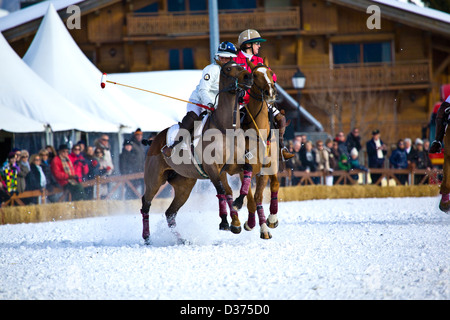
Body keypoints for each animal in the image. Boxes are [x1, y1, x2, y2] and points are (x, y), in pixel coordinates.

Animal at [140, 60, 253, 244]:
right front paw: (226, 222)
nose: (249, 77)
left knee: (170, 213)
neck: (226, 127)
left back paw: (181, 240)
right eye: (229, 68)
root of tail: (153, 141)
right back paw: (147, 237)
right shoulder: (214, 169)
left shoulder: (234, 166)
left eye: (242, 66)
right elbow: (223, 191)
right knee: (146, 203)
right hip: (154, 179)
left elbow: (241, 181)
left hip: (184, 184)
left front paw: (237, 209)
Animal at [220, 59, 280, 240]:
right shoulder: (244, 168)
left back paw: (272, 218)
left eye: (270, 72)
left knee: (275, 184)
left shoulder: (265, 168)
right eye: (255, 75)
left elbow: (259, 197)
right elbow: (251, 199)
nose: (270, 92)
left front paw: (265, 226)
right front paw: (251, 223)